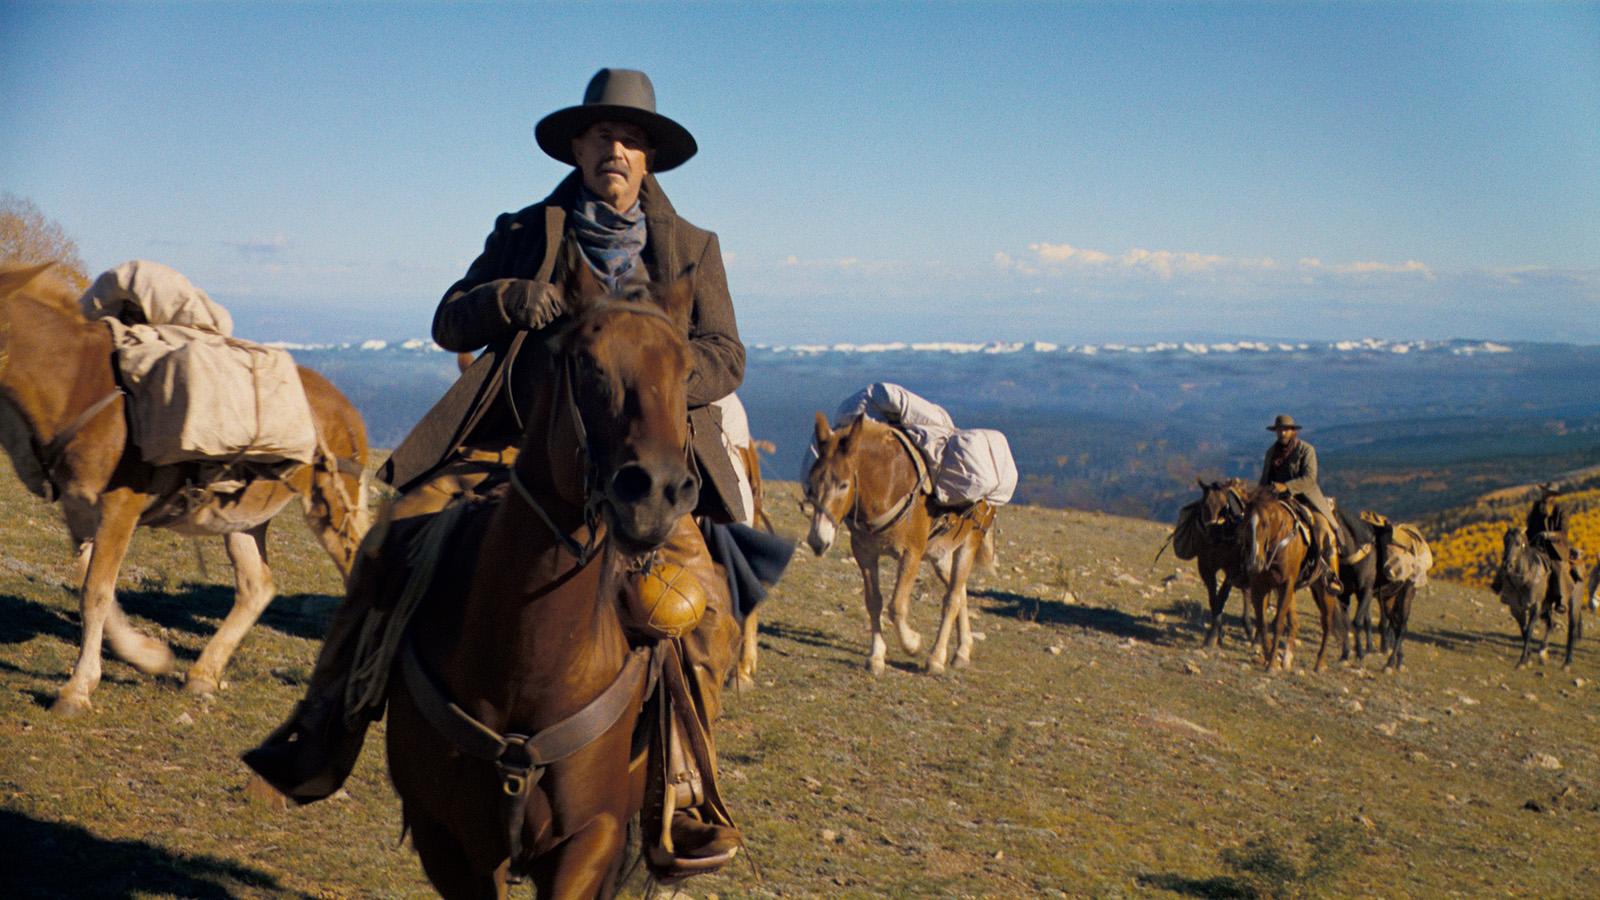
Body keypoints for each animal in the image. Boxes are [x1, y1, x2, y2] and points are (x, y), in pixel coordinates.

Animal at [0, 261, 368, 714]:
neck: (76, 387)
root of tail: (346, 409)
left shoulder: (119, 508)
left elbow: (96, 593)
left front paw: (77, 689)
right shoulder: (79, 510)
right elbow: (95, 588)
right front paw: (149, 656)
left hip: (329, 506)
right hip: (242, 517)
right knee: (257, 586)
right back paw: (203, 674)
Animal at [806, 413, 992, 672]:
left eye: (843, 484)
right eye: (810, 483)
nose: (817, 541)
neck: (887, 485)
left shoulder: (911, 554)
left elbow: (896, 607)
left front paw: (913, 643)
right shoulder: (864, 553)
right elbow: (873, 601)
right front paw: (876, 656)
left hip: (969, 544)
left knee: (952, 599)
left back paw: (937, 658)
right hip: (941, 555)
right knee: (961, 593)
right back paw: (962, 651)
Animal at [1241, 483, 1344, 666]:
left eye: (1266, 524)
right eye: (1246, 524)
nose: (1254, 563)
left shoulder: (1286, 584)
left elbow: (1278, 623)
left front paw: (1271, 664)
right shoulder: (1260, 586)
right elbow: (1262, 622)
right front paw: (1270, 656)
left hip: (1324, 588)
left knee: (1327, 622)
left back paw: (1319, 663)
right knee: (1294, 623)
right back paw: (1287, 658)